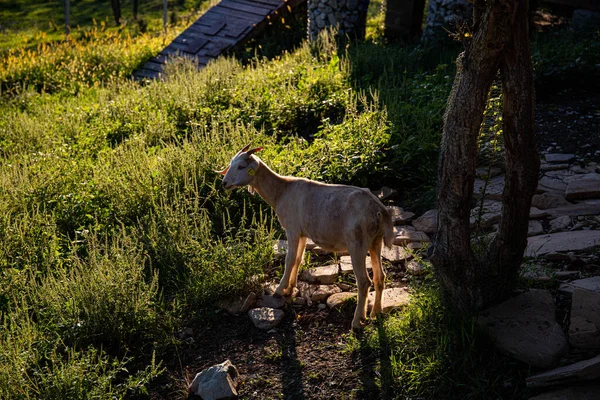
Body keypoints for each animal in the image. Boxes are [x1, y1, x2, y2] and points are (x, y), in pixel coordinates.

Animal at [218, 144, 396, 332]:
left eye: (241, 166)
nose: (224, 183)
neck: (281, 191)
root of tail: (379, 210)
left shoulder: (292, 229)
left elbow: (289, 260)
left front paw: (280, 290)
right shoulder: (302, 233)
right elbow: (298, 259)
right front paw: (291, 288)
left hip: (357, 243)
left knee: (363, 282)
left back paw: (357, 321)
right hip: (375, 241)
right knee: (380, 277)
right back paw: (376, 312)